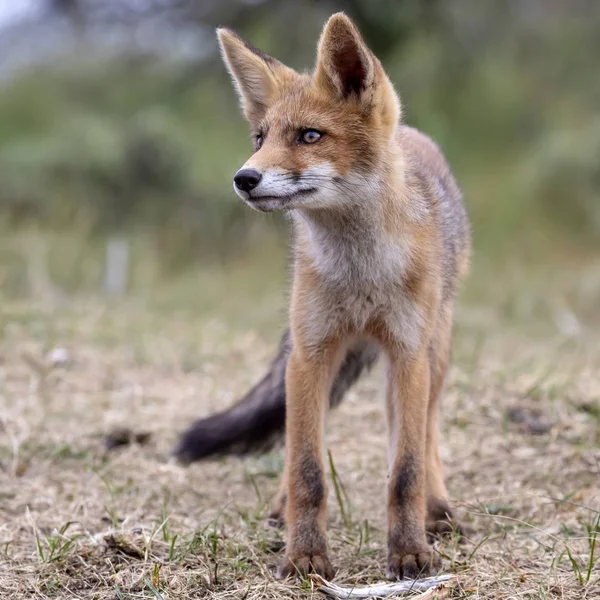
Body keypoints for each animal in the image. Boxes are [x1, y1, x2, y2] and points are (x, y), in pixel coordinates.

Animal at [176, 10, 472, 580]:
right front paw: (306, 556)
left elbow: (406, 469)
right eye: (260, 137)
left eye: (310, 136)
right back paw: (280, 506)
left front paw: (409, 551)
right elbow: (307, 468)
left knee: (424, 434)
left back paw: (438, 508)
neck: (361, 277)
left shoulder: (407, 354)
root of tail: (413, 134)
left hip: (435, 354)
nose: (244, 177)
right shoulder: (311, 352)